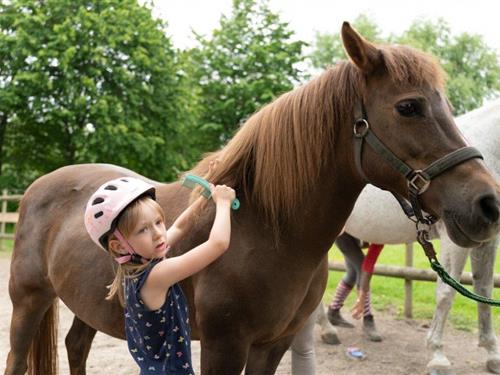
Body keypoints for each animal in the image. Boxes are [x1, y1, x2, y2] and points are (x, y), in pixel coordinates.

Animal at [314, 100, 498, 375]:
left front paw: (491, 353)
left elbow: (484, 291)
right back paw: (326, 330)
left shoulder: (487, 240)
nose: (490, 201)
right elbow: (446, 293)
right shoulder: (453, 240)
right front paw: (438, 355)